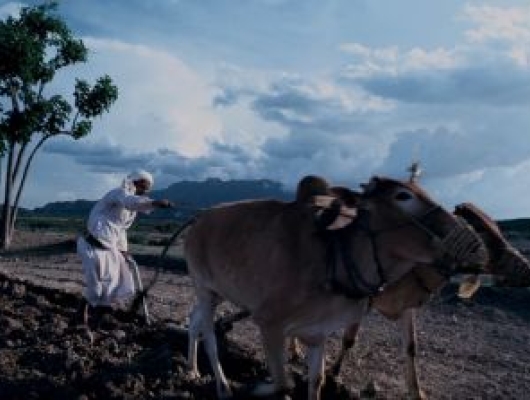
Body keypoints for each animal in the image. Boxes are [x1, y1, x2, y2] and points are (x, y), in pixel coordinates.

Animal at [182, 176, 482, 400]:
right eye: (403, 196)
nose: (471, 240)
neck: (335, 257)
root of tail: (199, 218)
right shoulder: (268, 322)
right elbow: (284, 383)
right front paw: (256, 387)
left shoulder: (318, 334)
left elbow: (316, 382)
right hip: (204, 288)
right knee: (209, 336)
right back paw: (222, 386)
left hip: (218, 293)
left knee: (193, 319)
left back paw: (193, 370)